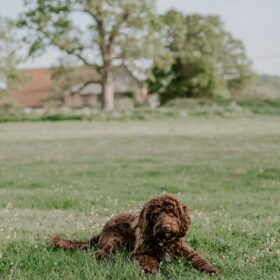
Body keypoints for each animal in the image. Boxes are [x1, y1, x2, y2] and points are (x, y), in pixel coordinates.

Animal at [51, 194, 218, 274]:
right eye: (156, 214)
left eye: (172, 213)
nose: (166, 227)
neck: (164, 242)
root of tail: (103, 229)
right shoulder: (140, 253)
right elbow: (147, 261)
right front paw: (150, 272)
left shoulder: (188, 252)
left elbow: (200, 259)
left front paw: (211, 270)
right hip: (117, 239)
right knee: (99, 254)